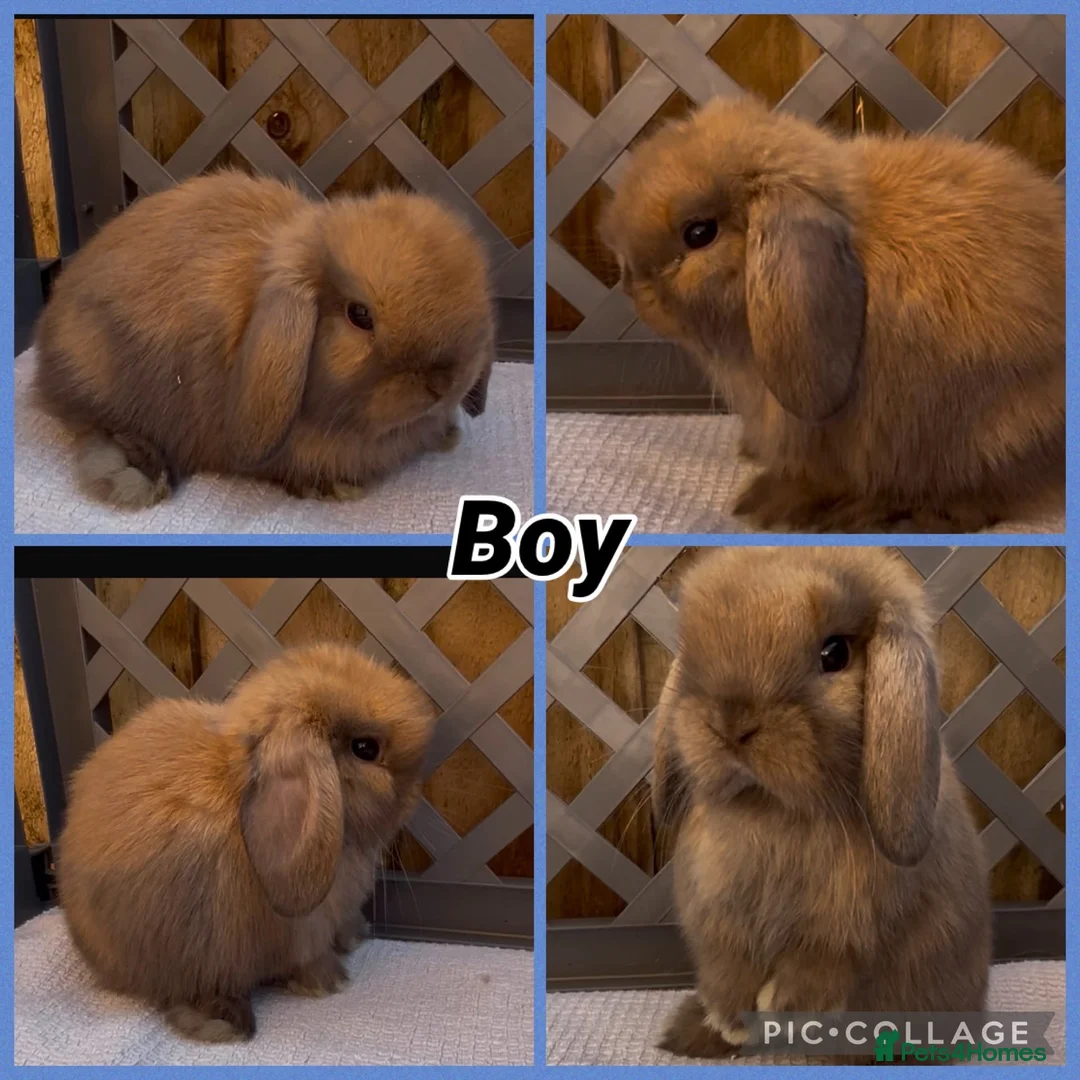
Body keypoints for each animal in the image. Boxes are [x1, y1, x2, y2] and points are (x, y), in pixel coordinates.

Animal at [56, 643, 436, 1042]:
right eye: (365, 748)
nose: (414, 795)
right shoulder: (305, 933)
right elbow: (310, 959)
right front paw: (331, 982)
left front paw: (356, 936)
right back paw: (228, 1023)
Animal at [651, 547, 991, 1062]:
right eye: (690, 648)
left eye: (836, 654)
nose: (731, 724)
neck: (772, 810)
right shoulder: (719, 918)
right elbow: (728, 968)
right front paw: (732, 1021)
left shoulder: (845, 932)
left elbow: (820, 969)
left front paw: (780, 1010)